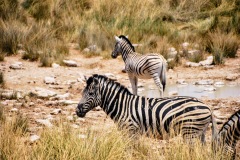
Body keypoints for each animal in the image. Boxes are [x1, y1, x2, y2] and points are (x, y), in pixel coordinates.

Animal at [76, 74, 217, 143]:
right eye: (82, 93)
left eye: (90, 93)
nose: (77, 111)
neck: (122, 105)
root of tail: (208, 107)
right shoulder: (128, 132)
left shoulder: (131, 130)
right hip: (200, 133)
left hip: (190, 132)